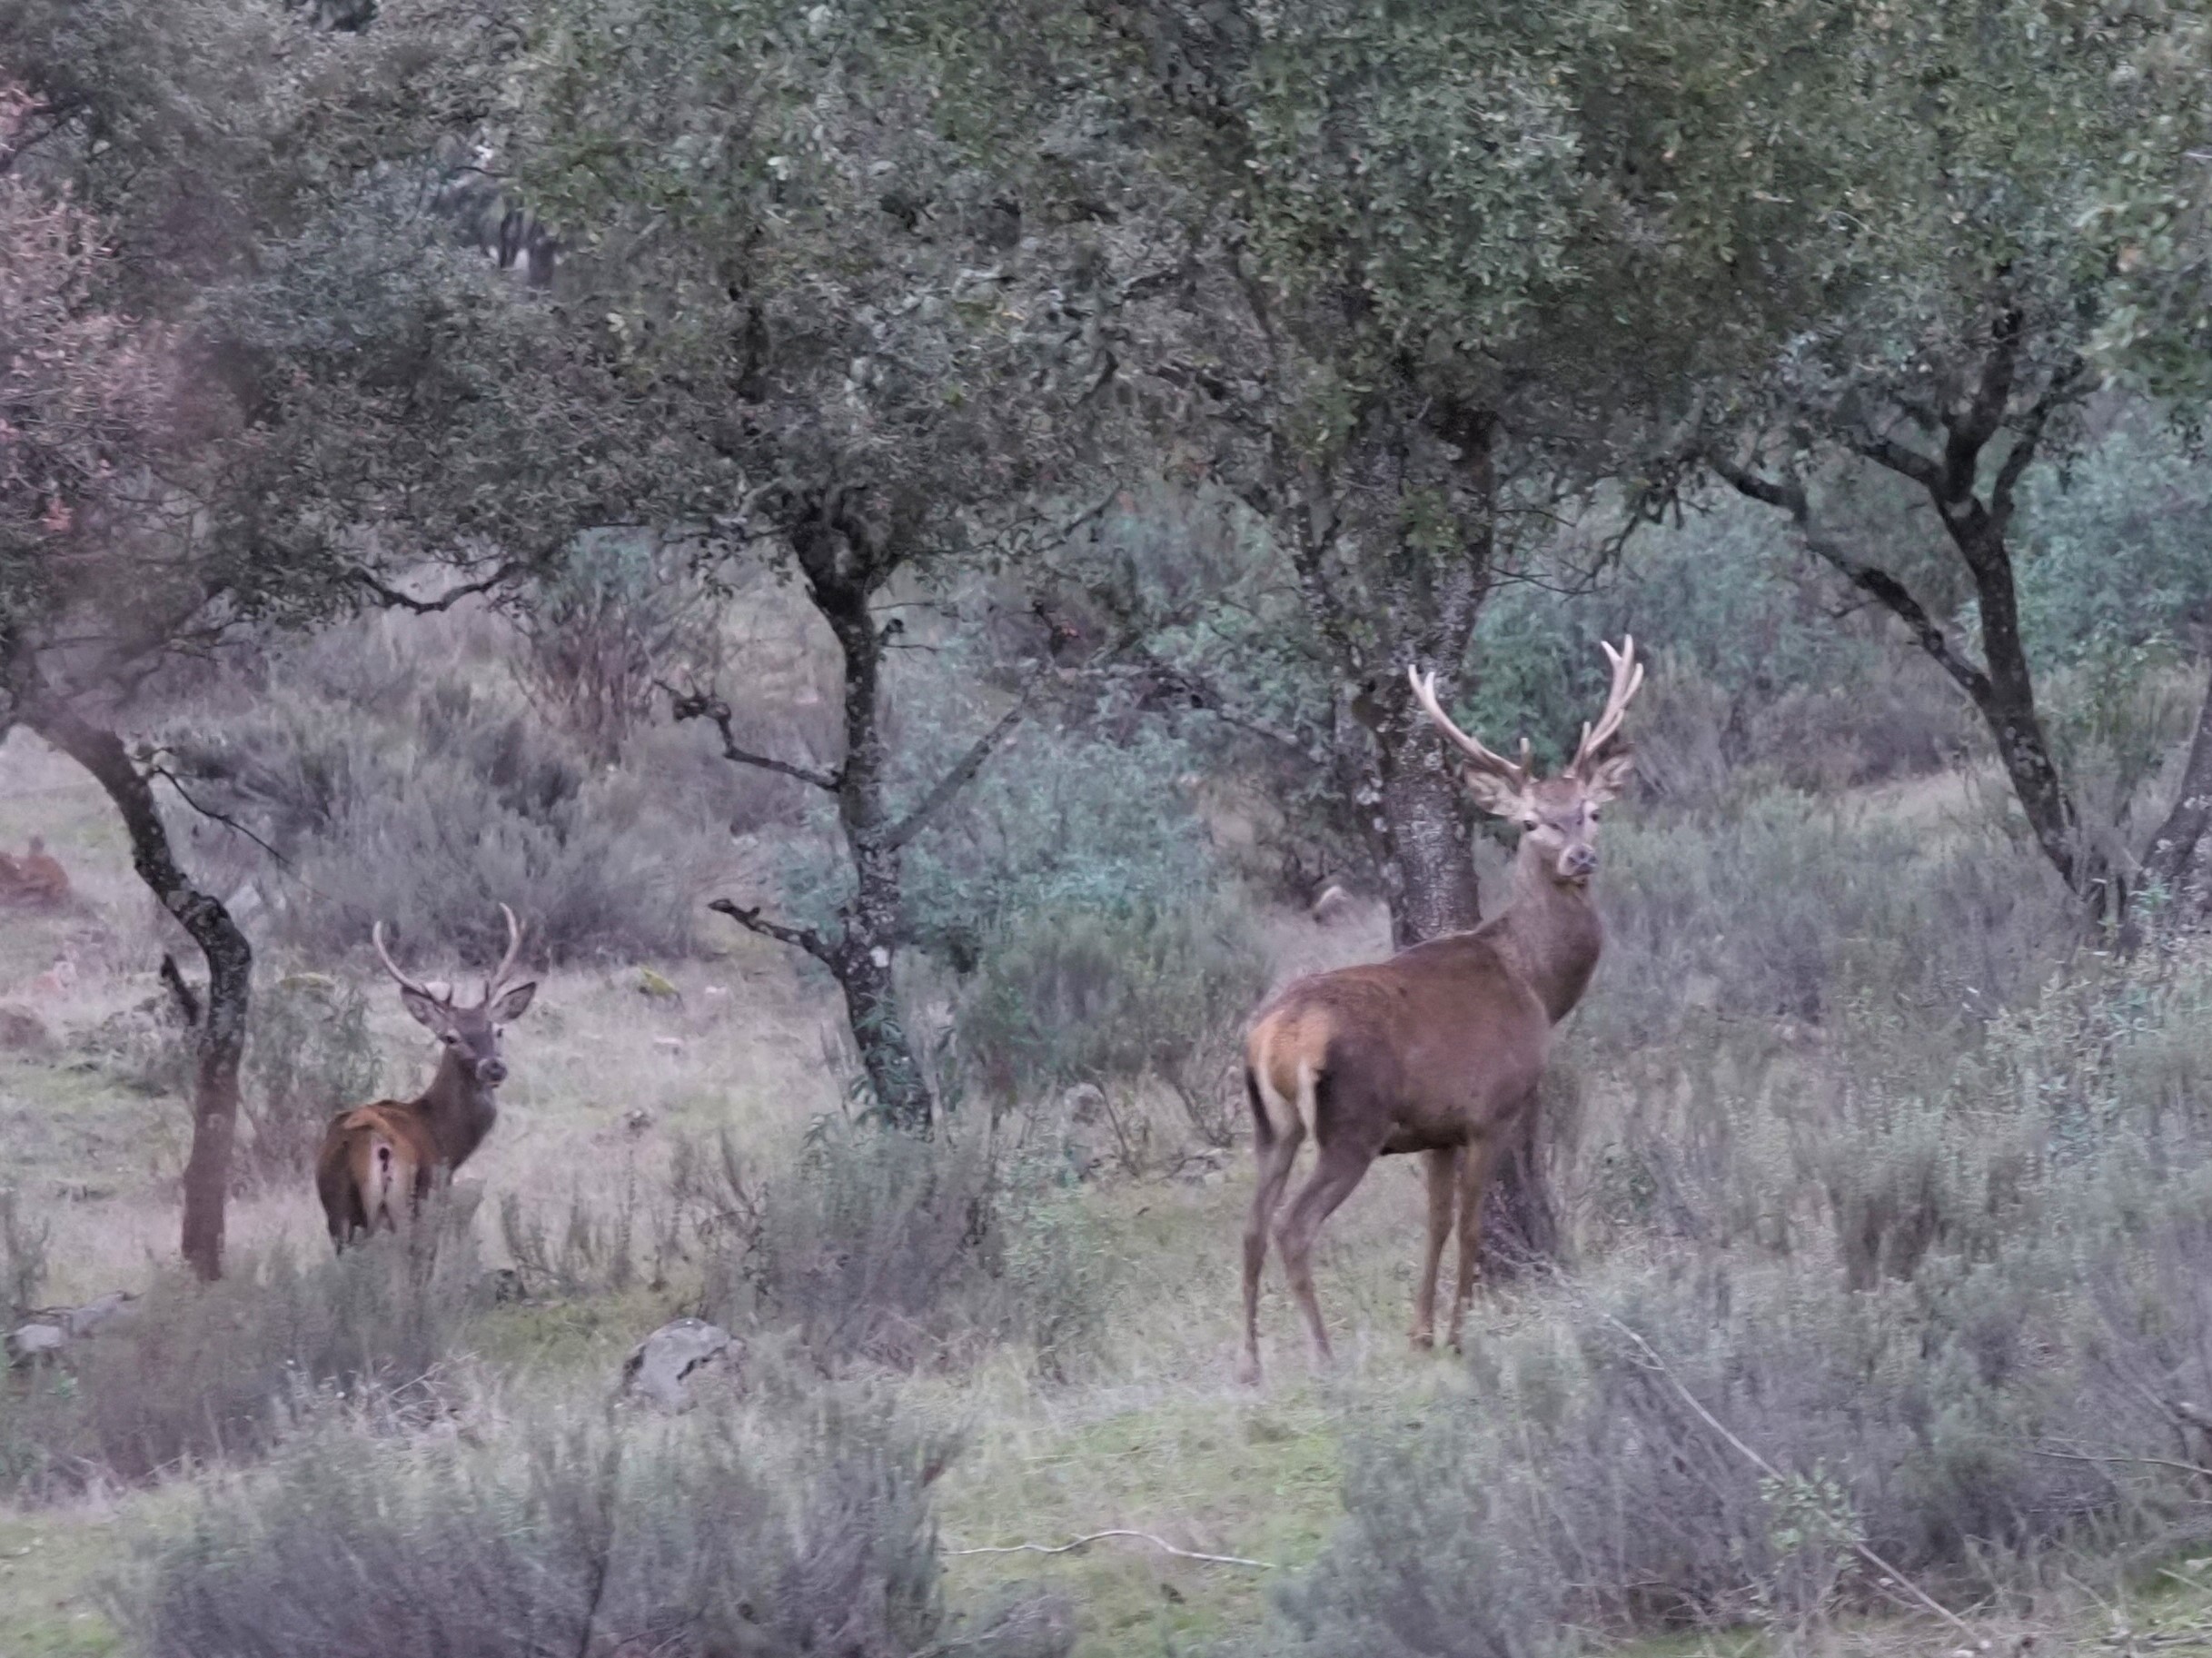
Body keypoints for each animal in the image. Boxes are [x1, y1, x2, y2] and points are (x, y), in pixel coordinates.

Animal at [318, 907, 537, 1239]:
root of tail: (373, 1144)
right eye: (450, 1037)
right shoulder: (437, 1194)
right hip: (404, 1206)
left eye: (499, 1030)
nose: (493, 1067)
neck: (446, 1139)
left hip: (337, 1213)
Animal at [1247, 632, 1645, 1381]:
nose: (1579, 857)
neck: (1536, 986)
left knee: (1251, 1225)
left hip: (1272, 1125)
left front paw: (1421, 1331)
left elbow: (1433, 1222)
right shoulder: (1491, 1109)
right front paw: (1460, 1334)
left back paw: (1249, 1364)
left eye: (1592, 810)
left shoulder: (1434, 1128)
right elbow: (1470, 1223)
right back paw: (1323, 1355)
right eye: (1531, 822)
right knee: (1291, 1225)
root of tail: (1274, 1036)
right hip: (1350, 1123)